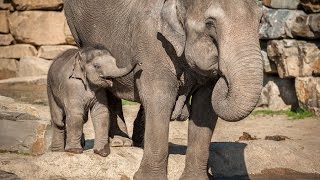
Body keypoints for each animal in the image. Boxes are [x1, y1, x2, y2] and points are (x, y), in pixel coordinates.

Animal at [64, 0, 262, 179]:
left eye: (260, 21)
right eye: (209, 23)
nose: (221, 74)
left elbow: (205, 107)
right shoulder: (152, 42)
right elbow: (160, 97)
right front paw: (148, 178)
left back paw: (138, 142)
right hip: (77, 29)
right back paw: (121, 142)